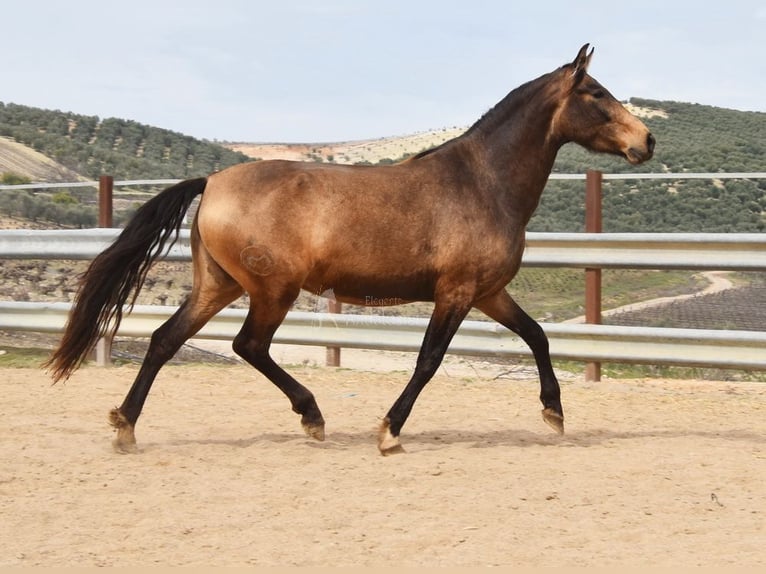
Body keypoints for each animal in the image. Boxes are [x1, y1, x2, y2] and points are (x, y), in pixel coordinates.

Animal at [46, 45, 656, 456]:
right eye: (596, 93)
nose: (646, 141)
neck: (482, 182)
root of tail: (213, 182)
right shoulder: (456, 293)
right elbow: (429, 359)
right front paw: (389, 432)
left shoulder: (488, 293)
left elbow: (537, 336)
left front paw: (554, 414)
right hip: (272, 290)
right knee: (249, 345)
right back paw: (311, 416)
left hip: (219, 285)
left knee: (165, 340)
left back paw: (126, 427)